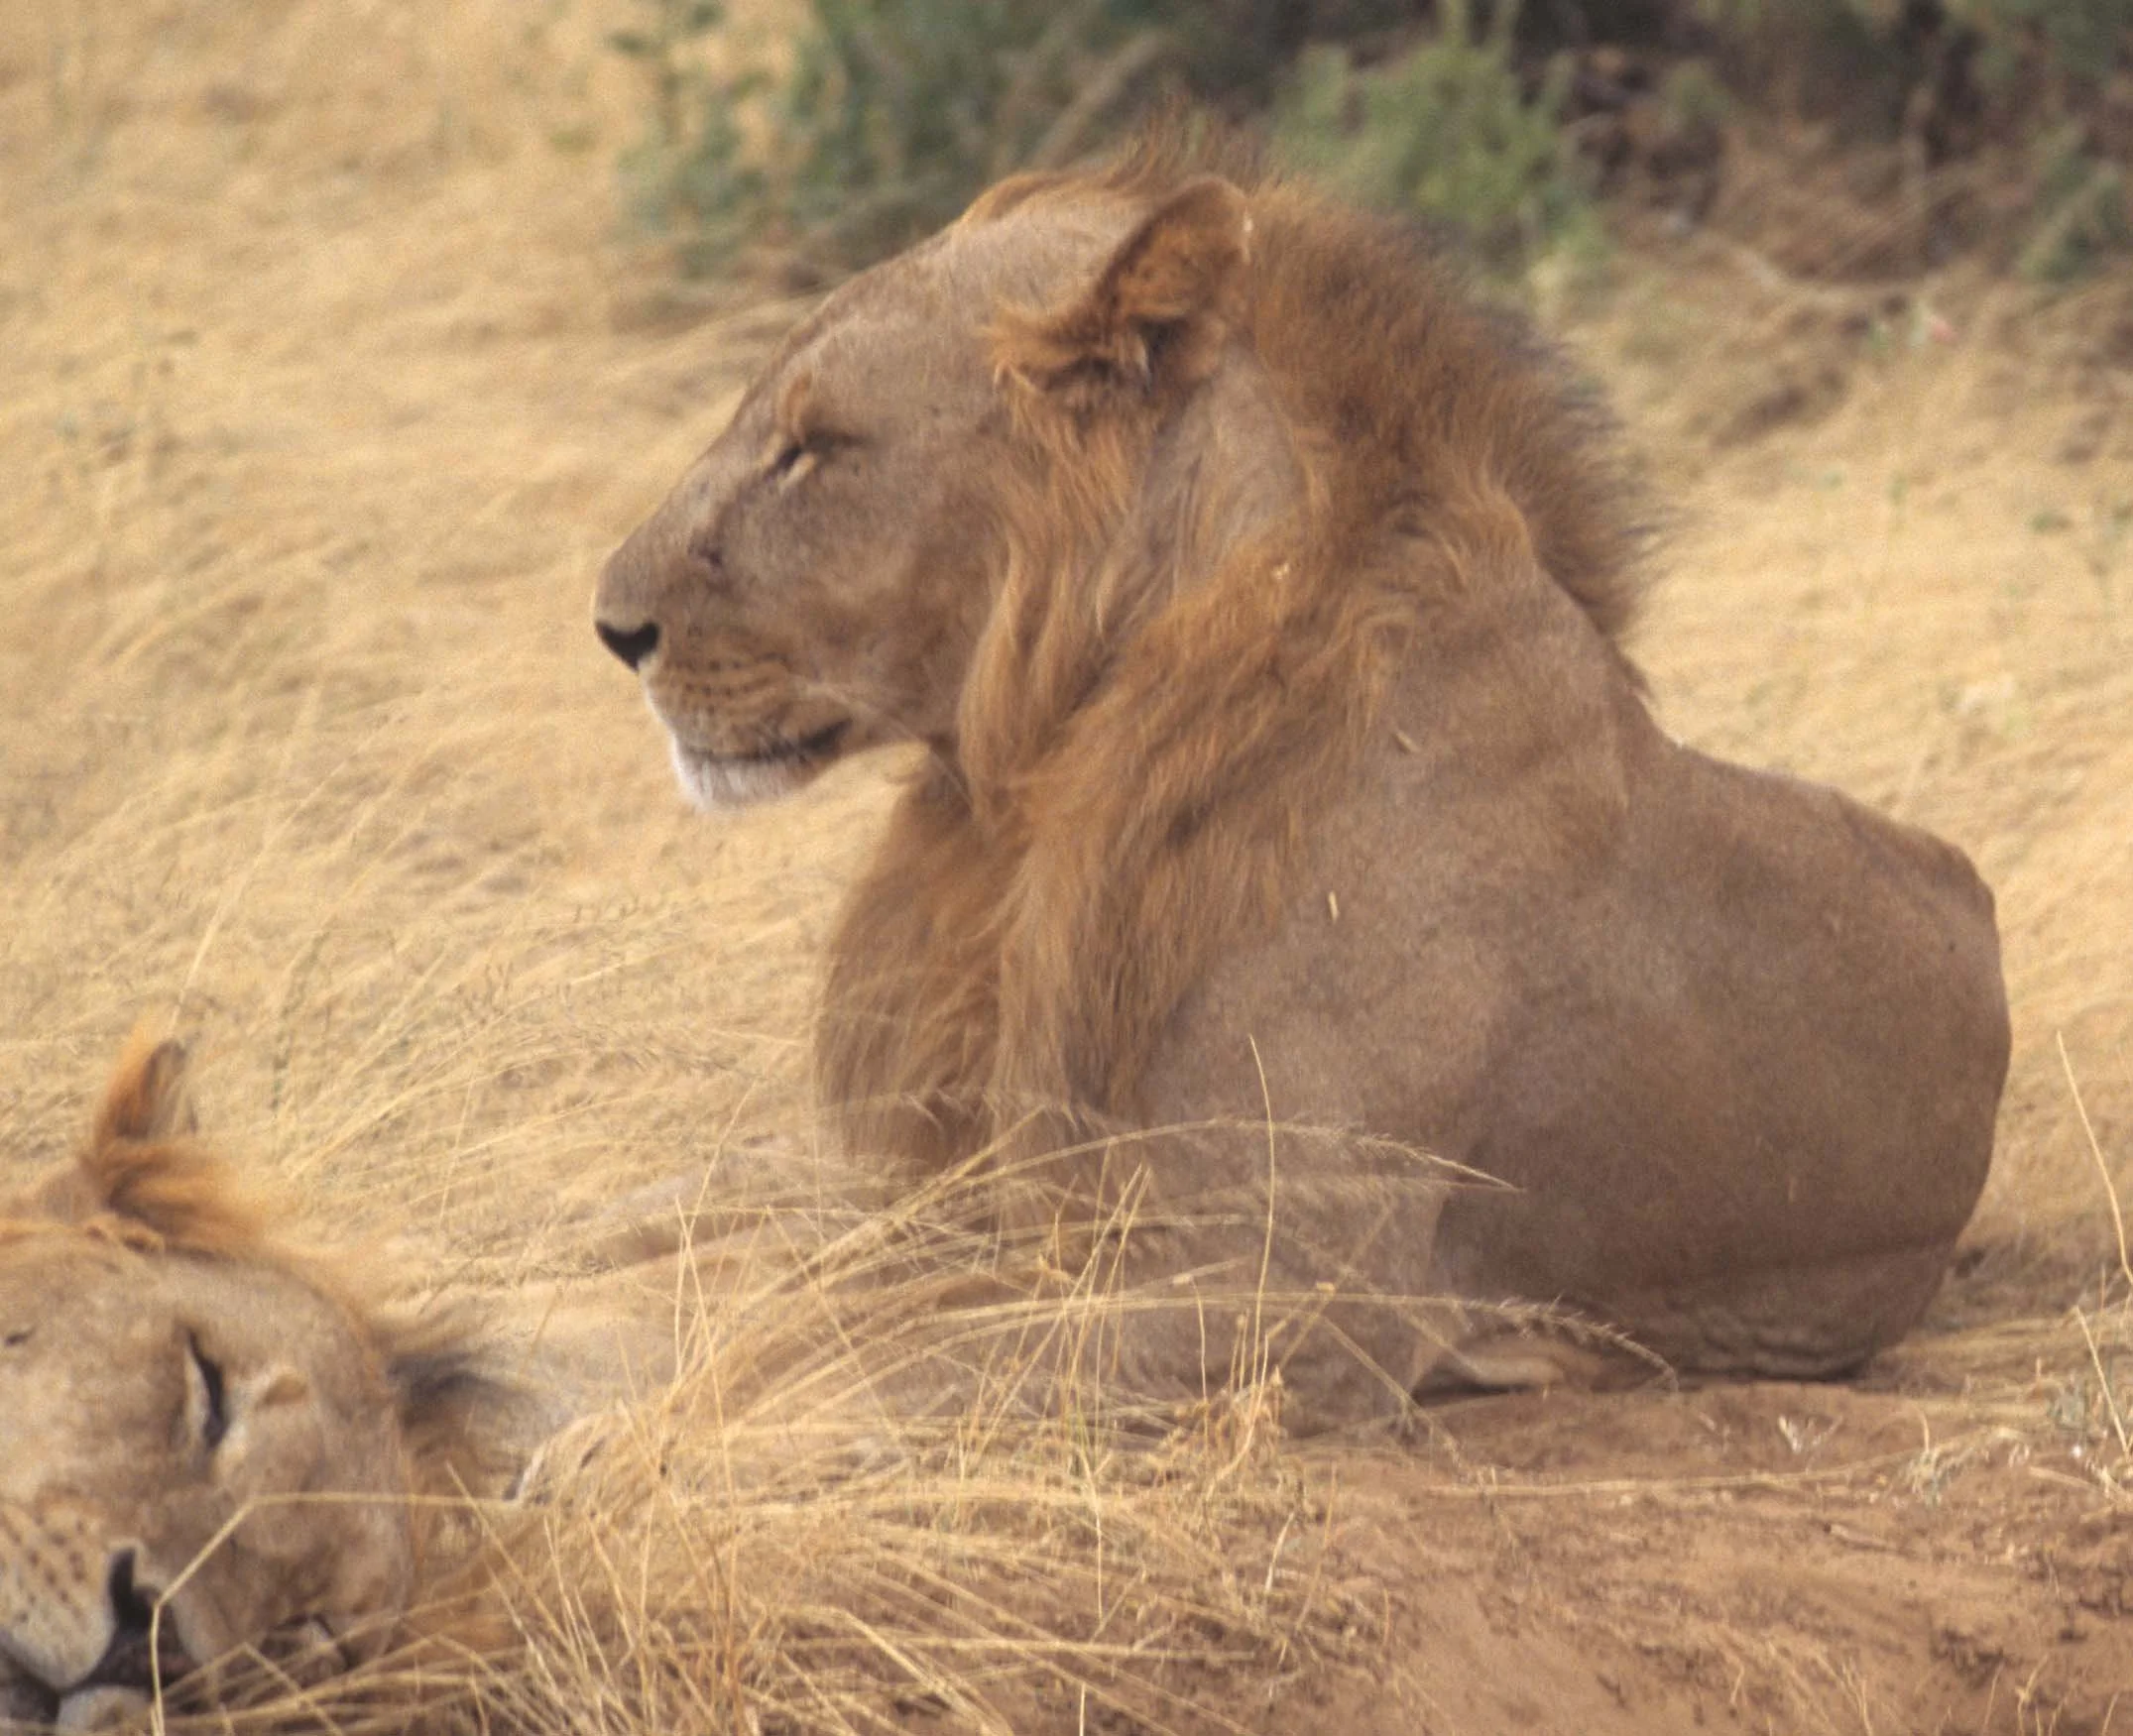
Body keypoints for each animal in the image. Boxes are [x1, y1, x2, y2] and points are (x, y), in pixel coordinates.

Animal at [592, 133, 2012, 1428]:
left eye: (816, 446)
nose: (611, 626)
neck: (1039, 783)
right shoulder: (980, 1184)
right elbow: (744, 1272)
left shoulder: (1296, 1295)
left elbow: (864, 1358)